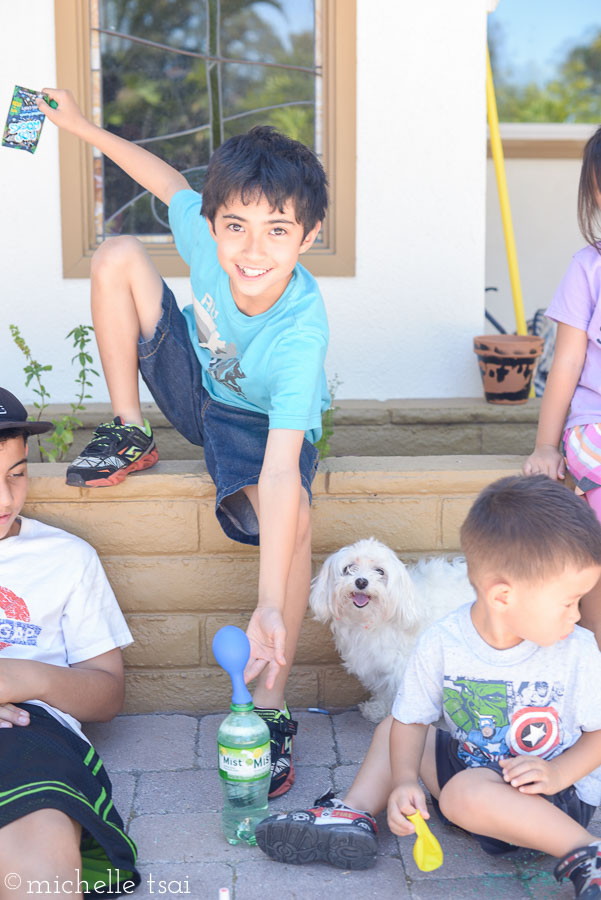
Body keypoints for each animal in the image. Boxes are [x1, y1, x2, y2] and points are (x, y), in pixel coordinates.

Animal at [310, 536, 474, 720]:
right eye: (348, 568)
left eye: (380, 571)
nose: (361, 581)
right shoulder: (378, 665)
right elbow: (384, 690)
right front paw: (379, 710)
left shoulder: (403, 666)